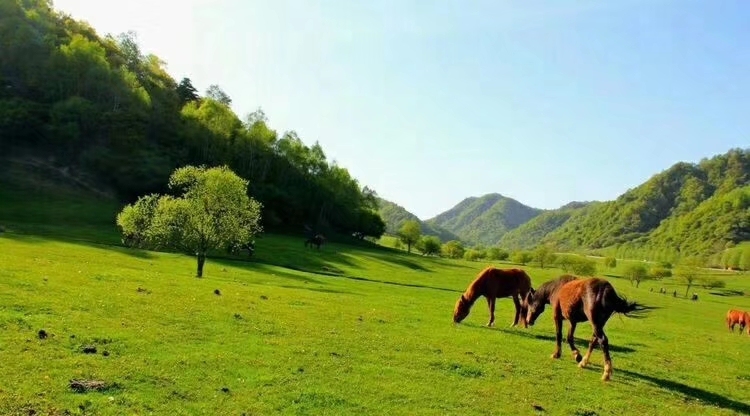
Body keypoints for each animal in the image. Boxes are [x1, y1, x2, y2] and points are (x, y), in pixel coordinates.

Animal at [524, 276, 656, 380]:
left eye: (530, 303)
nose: (528, 321)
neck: (556, 289)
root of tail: (606, 290)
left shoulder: (557, 317)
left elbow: (559, 335)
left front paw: (557, 354)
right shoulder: (572, 321)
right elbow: (569, 337)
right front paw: (577, 355)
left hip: (595, 323)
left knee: (602, 340)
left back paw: (606, 373)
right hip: (599, 324)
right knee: (593, 340)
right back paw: (584, 362)